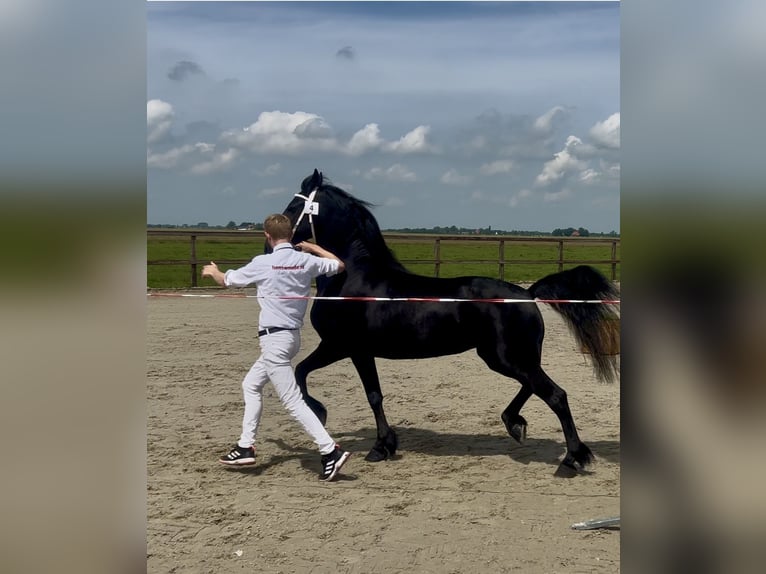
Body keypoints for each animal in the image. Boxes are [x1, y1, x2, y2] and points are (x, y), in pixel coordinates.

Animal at [280, 169, 619, 476]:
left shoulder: (344, 347)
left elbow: (318, 378)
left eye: (294, 206)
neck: (353, 277)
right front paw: (384, 444)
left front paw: (341, 425)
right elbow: (354, 388)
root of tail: (528, 293)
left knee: (555, 395)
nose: (274, 242)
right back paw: (515, 425)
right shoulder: (352, 350)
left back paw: (571, 459)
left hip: (506, 358)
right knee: (533, 387)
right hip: (508, 357)